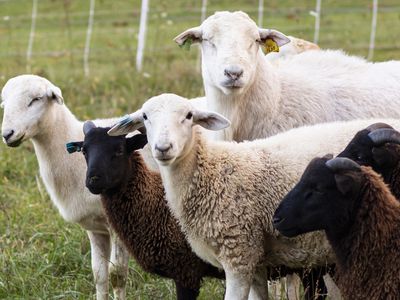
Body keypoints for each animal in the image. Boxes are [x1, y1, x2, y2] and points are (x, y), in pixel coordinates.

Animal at [0, 75, 129, 300]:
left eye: (36, 99)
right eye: (4, 103)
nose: (7, 134)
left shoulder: (118, 224)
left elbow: (117, 275)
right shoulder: (96, 226)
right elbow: (99, 274)